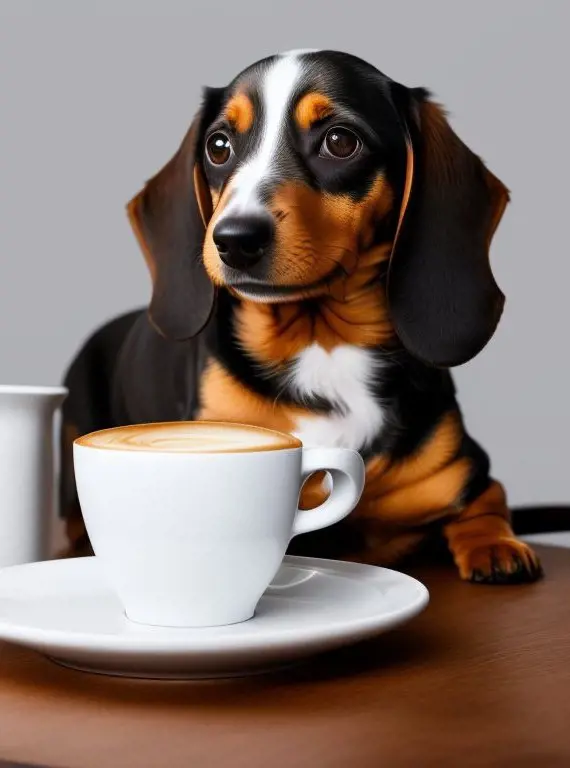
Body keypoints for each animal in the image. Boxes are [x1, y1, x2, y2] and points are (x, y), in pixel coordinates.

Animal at [58, 49, 540, 584]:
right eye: (219, 146)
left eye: (340, 141)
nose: (234, 239)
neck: (320, 343)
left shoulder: (467, 473)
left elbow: (488, 506)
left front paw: (496, 546)